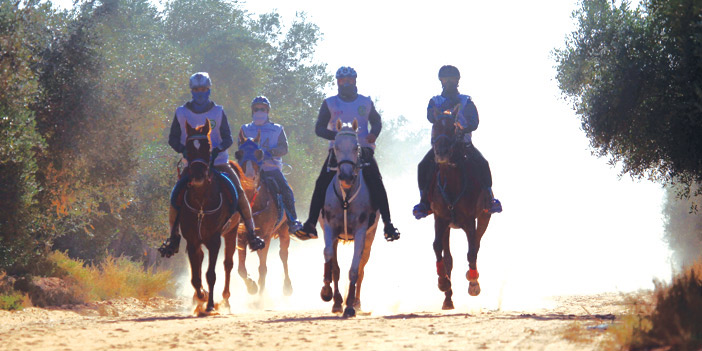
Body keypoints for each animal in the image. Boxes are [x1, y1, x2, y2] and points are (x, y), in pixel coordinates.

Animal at [177, 119, 266, 314]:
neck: (201, 202)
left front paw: (210, 304)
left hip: (231, 232)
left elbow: (211, 273)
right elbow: (195, 276)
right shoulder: (192, 240)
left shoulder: (215, 239)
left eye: (208, 147)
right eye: (188, 147)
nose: (198, 175)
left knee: (228, 264)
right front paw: (201, 296)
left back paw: (225, 299)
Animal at [234, 131, 294, 298]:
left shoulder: (266, 237)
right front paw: (252, 287)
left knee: (284, 255)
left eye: (259, 152)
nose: (248, 177)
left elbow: (263, 269)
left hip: (284, 230)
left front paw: (260, 298)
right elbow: (241, 270)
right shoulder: (240, 236)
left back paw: (287, 287)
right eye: (239, 153)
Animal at [320, 119, 380, 320]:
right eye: (336, 148)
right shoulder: (329, 228)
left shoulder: (361, 232)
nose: (346, 176)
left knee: (361, 267)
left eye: (356, 148)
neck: (346, 195)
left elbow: (355, 269)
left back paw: (356, 302)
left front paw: (350, 307)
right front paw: (329, 295)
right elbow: (331, 261)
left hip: (370, 237)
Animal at [428, 106, 496, 310]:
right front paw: (443, 282)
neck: (452, 182)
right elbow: (437, 248)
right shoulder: (440, 219)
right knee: (449, 257)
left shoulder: (469, 221)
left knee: (476, 245)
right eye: (435, 126)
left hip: (484, 217)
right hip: (448, 227)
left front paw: (473, 284)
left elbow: (472, 249)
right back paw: (448, 297)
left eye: (453, 128)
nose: (441, 152)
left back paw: (470, 277)